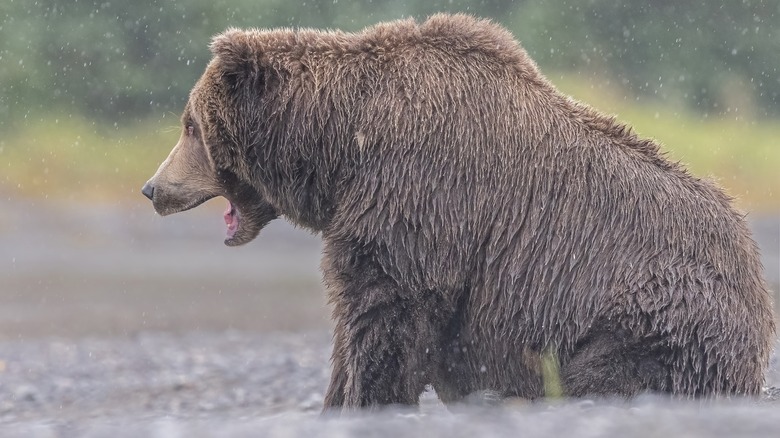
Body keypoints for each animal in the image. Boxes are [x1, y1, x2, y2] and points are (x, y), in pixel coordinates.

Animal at [142, 13, 772, 410]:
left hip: (651, 310)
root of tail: (756, 274)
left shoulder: (419, 200)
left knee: (610, 374)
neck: (344, 148)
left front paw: (365, 398)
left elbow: (388, 315)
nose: (152, 187)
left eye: (189, 125)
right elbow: (356, 319)